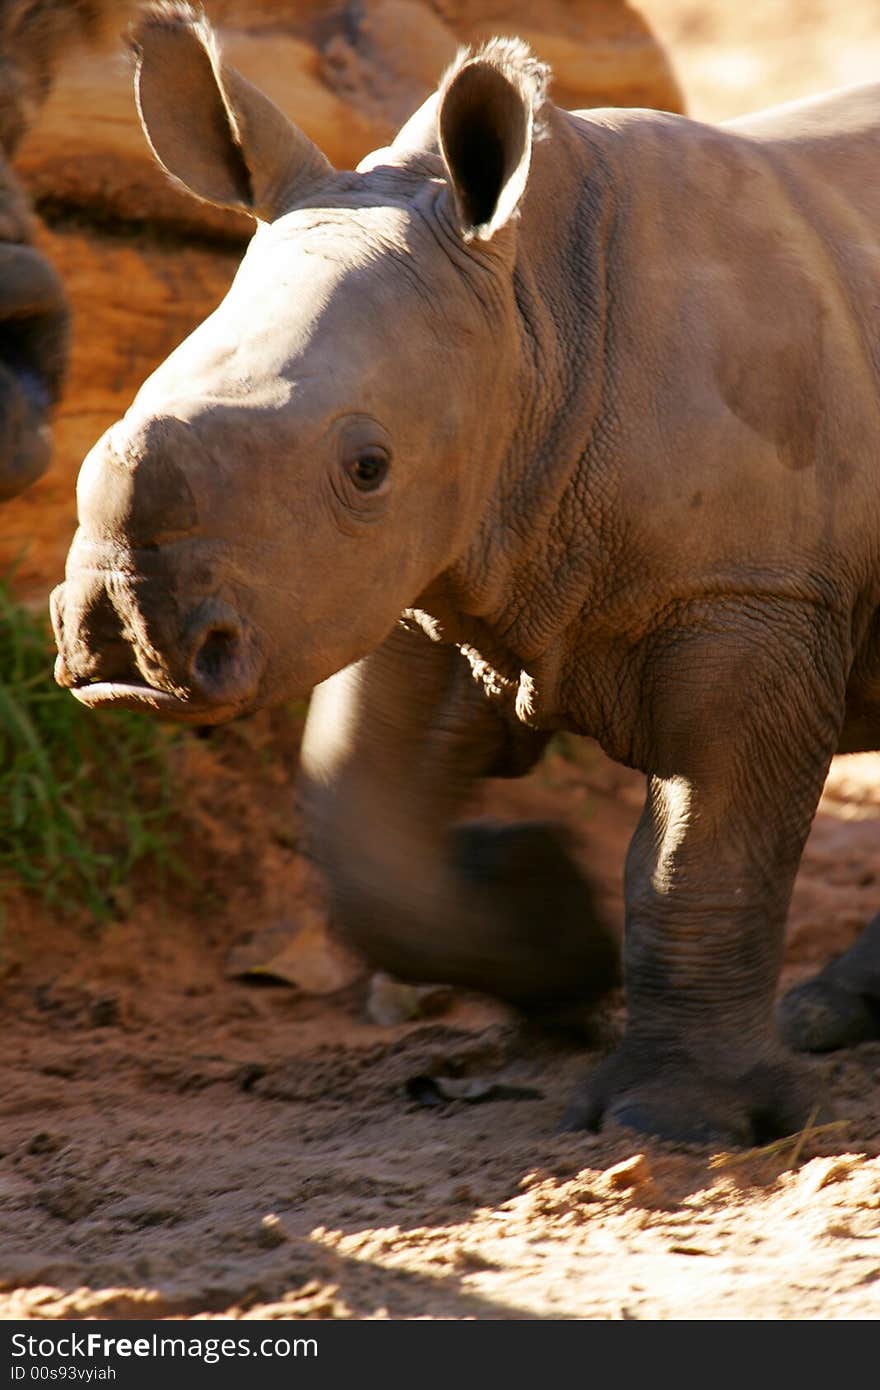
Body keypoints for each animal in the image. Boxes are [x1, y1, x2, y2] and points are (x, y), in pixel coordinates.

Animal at [51, 5, 878, 1145]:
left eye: (367, 465)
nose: (125, 642)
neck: (534, 314)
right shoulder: (444, 565)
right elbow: (361, 828)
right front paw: (554, 920)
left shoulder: (753, 592)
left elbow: (700, 858)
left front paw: (674, 1124)